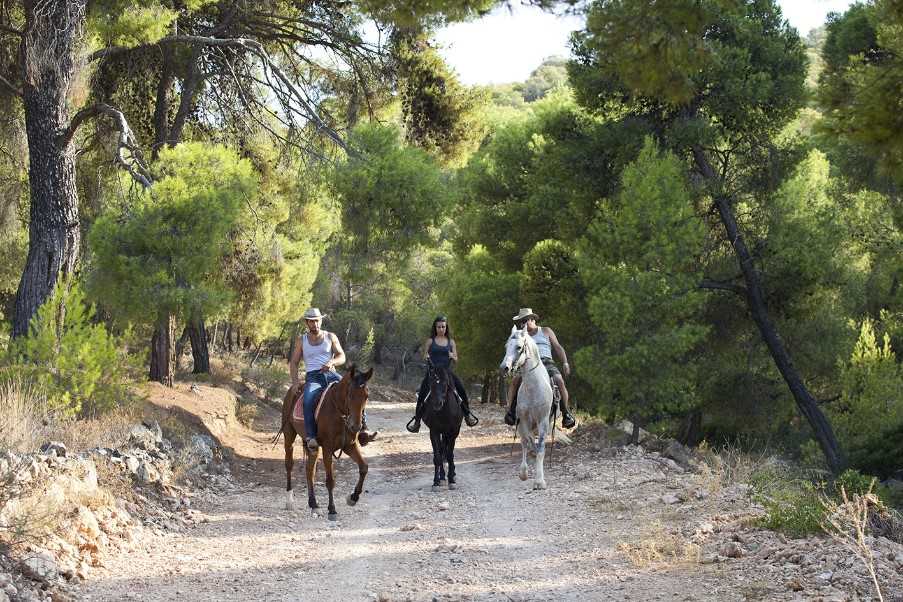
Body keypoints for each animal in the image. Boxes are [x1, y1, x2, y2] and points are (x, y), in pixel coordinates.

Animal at [278, 364, 372, 516]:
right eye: (350, 395)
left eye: (366, 396)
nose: (356, 426)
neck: (340, 414)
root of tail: (294, 388)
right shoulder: (328, 448)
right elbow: (330, 480)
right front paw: (332, 509)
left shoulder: (349, 445)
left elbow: (364, 468)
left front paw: (353, 497)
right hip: (289, 435)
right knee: (289, 464)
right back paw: (290, 501)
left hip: (313, 447)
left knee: (309, 470)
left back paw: (313, 503)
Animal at [502, 324, 552, 488]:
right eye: (506, 346)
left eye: (519, 347)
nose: (504, 367)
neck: (533, 388)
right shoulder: (523, 420)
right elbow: (526, 442)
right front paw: (523, 473)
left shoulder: (543, 420)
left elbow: (540, 447)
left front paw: (539, 480)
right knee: (527, 441)